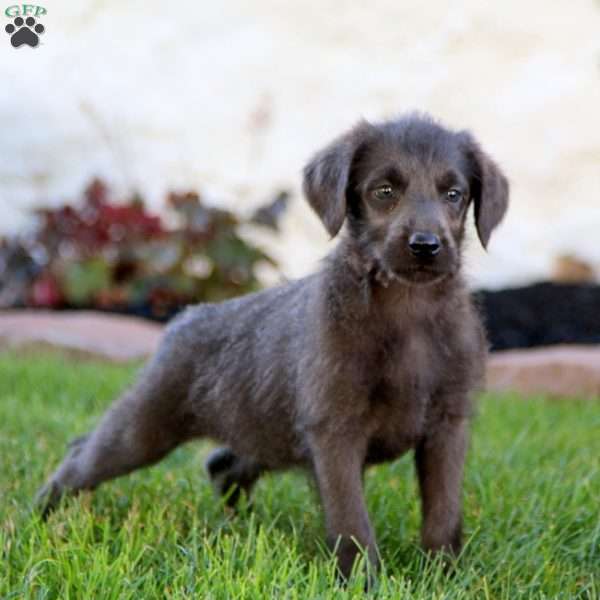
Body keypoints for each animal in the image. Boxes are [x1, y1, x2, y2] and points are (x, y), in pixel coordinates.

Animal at [36, 112, 506, 576]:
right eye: (384, 191)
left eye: (454, 194)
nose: (426, 245)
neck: (408, 311)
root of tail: (184, 319)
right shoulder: (334, 431)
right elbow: (351, 518)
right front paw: (362, 580)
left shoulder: (447, 425)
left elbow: (443, 510)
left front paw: (442, 574)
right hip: (146, 426)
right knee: (84, 455)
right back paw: (44, 514)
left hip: (263, 431)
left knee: (221, 463)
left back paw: (240, 527)